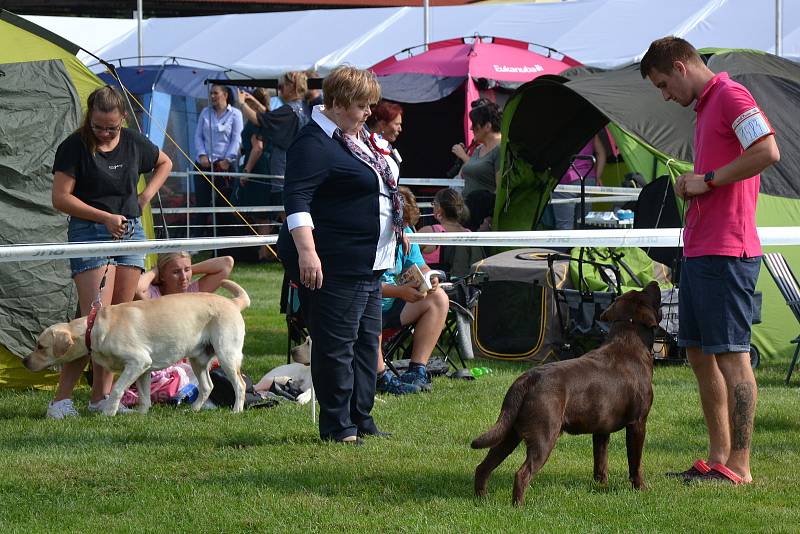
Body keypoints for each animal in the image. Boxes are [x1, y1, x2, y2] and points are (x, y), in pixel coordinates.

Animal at [25, 280, 248, 418]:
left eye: (40, 346)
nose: (25, 361)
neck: (93, 328)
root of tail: (233, 302)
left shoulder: (138, 362)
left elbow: (116, 389)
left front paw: (108, 412)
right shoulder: (144, 371)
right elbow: (145, 398)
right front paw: (140, 414)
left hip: (226, 355)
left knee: (240, 385)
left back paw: (236, 410)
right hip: (198, 360)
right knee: (207, 386)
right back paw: (192, 410)